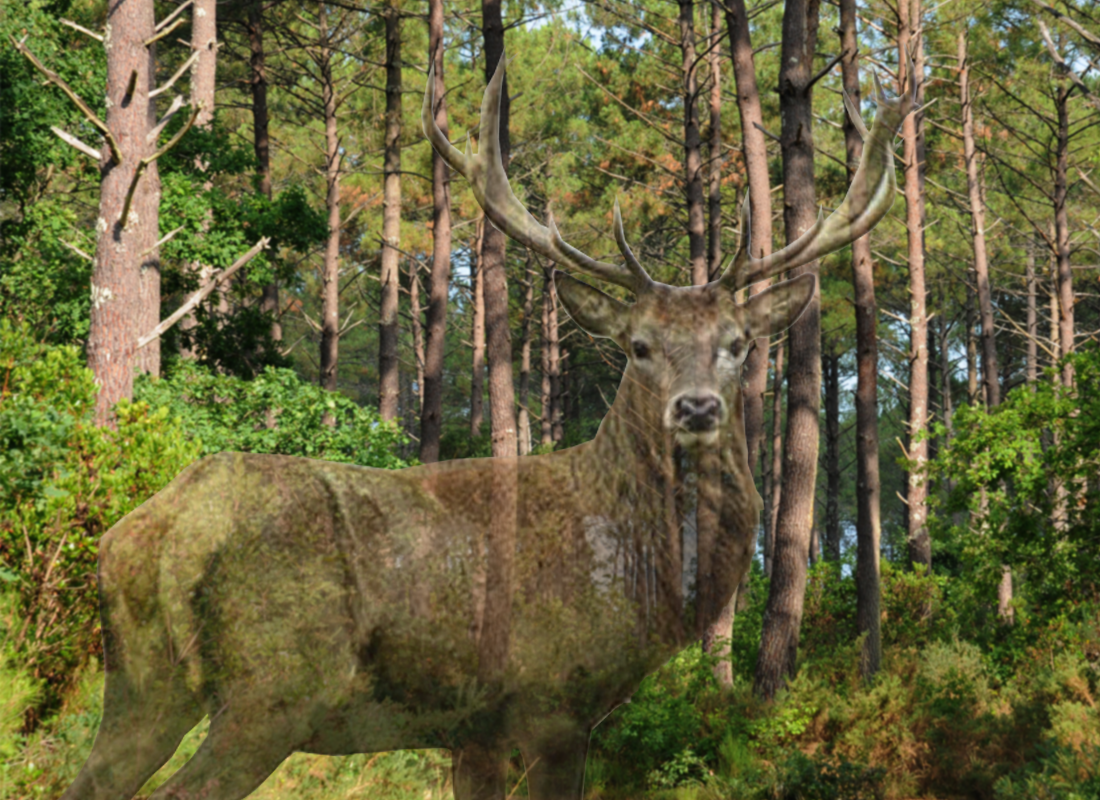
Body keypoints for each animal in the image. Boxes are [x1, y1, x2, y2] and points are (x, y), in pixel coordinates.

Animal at [60, 51, 915, 800]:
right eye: (638, 346)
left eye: (737, 344)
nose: (698, 407)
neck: (637, 577)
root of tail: (160, 531)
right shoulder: (554, 697)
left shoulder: (473, 725)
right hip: (274, 682)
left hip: (139, 680)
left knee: (90, 778)